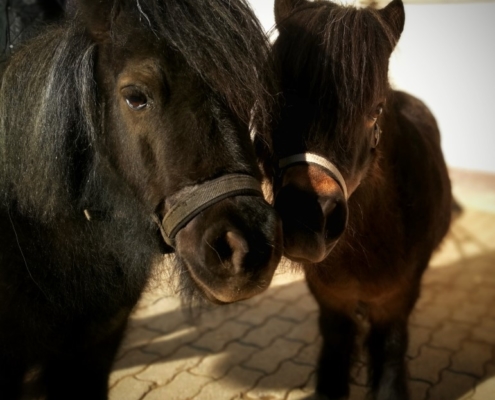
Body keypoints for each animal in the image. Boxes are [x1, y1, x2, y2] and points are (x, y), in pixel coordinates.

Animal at [262, 0, 456, 400]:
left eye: (376, 110)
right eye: (276, 103)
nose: (308, 218)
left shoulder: (395, 304)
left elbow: (389, 354)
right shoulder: (332, 303)